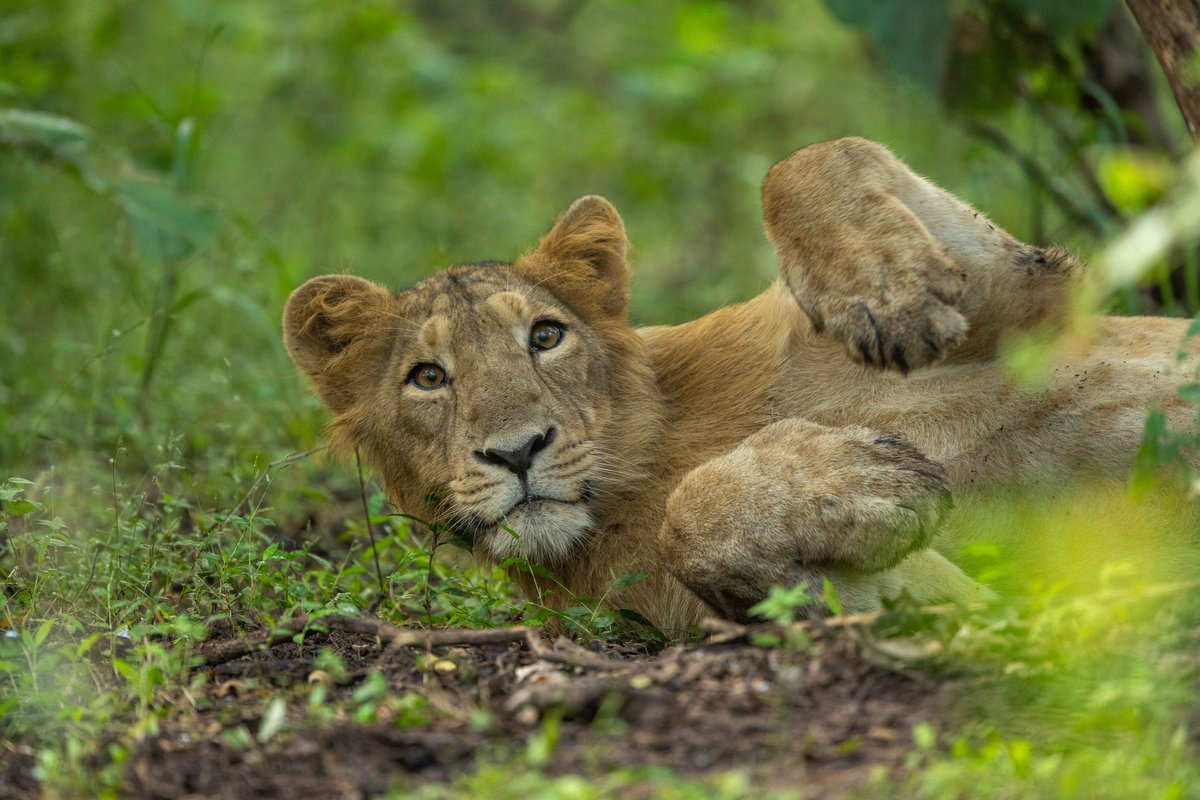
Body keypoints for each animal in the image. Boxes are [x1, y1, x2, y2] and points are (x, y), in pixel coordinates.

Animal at [284, 137, 1197, 633]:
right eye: (428, 377)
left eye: (545, 336)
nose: (517, 452)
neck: (643, 461)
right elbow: (696, 518)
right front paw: (873, 481)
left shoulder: (1033, 303)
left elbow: (807, 163)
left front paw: (891, 291)